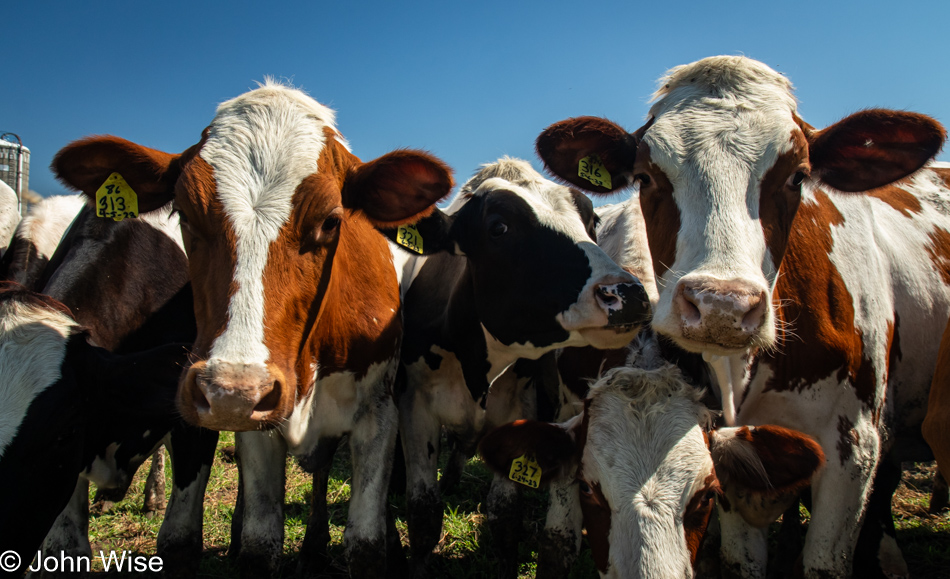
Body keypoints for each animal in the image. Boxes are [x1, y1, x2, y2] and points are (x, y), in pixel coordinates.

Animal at [51, 81, 454, 579]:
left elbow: (365, 544)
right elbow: (261, 545)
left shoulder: (378, 415)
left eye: (331, 220)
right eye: (184, 214)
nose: (233, 391)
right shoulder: (254, 431)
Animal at [388, 157, 656, 576]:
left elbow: (504, 517)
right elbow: (424, 514)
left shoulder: (518, 410)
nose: (626, 294)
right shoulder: (416, 407)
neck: (475, 362)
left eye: (591, 219)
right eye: (499, 227)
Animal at [540, 55, 950, 579]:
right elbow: (741, 561)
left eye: (798, 176)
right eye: (647, 176)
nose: (722, 306)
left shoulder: (854, 446)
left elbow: (824, 561)